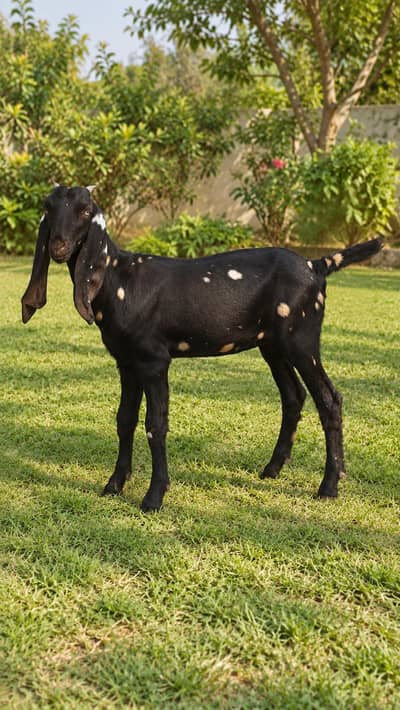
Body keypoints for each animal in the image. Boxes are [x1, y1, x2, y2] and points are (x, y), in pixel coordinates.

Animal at [22, 185, 383, 511]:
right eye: (48, 207)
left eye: (85, 210)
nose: (58, 246)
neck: (119, 278)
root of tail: (316, 265)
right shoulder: (126, 362)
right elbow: (125, 420)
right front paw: (113, 485)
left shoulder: (154, 360)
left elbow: (155, 424)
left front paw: (154, 497)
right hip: (273, 345)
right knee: (293, 397)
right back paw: (272, 470)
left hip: (302, 340)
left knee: (329, 400)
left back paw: (329, 486)